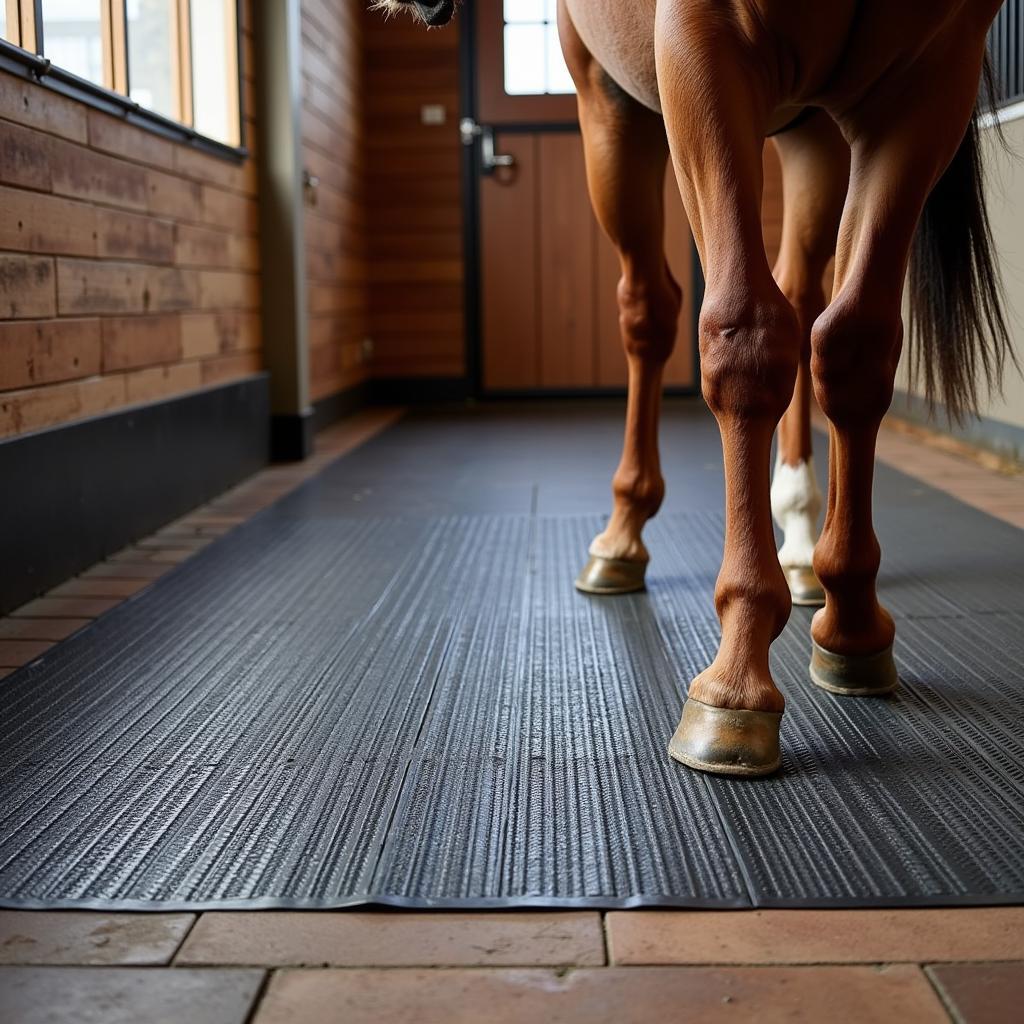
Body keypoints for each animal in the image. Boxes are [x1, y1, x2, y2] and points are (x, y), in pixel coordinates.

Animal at [374, 0, 1007, 774]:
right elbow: (744, 335)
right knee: (667, 308)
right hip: (640, 111)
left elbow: (852, 348)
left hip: (790, 132)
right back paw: (638, 534)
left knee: (789, 303)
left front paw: (850, 625)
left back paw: (793, 538)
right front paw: (742, 668)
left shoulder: (927, 82)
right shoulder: (698, 52)